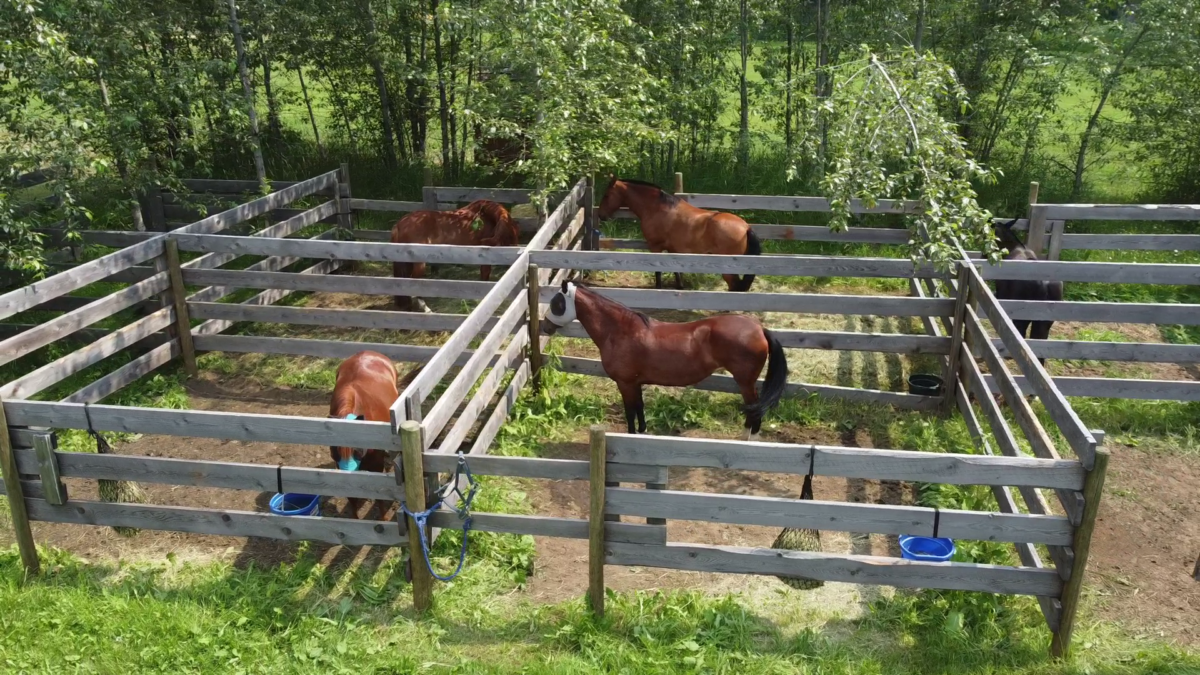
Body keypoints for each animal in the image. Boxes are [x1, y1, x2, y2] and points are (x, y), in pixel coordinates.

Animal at [328, 351, 399, 519]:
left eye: (357, 449)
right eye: (334, 450)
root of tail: (367, 352)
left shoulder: (376, 465)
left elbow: (379, 496)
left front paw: (383, 519)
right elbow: (352, 498)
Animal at [539, 280, 788, 438]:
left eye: (556, 303)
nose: (545, 326)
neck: (621, 331)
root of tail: (758, 328)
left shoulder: (625, 383)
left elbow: (630, 411)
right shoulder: (636, 383)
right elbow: (639, 409)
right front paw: (642, 432)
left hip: (744, 381)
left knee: (754, 409)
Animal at [596, 176, 762, 292]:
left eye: (606, 195)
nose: (601, 215)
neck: (657, 208)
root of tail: (745, 227)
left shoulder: (655, 247)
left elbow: (658, 272)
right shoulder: (673, 250)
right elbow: (676, 270)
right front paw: (680, 287)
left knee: (735, 286)